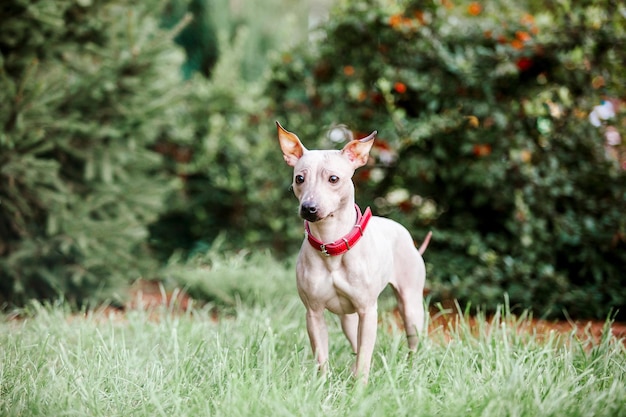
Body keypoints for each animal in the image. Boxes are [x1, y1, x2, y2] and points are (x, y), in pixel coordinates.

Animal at [278, 120, 428, 380]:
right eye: (299, 178)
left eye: (333, 178)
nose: (309, 207)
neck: (331, 243)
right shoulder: (313, 313)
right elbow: (322, 357)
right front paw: (323, 383)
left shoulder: (368, 312)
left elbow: (365, 358)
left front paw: (360, 386)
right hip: (347, 319)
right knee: (355, 343)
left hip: (411, 308)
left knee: (411, 341)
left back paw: (412, 368)